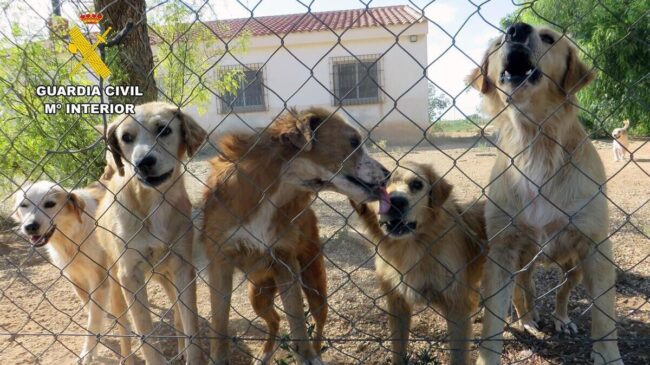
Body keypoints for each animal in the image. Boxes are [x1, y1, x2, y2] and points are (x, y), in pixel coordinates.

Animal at [12, 181, 132, 362]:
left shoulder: (100, 280)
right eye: (23, 205)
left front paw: (88, 353)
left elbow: (93, 319)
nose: (30, 227)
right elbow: (92, 312)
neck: (71, 237)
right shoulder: (75, 279)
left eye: (50, 204)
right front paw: (98, 340)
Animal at [95, 101, 205, 362]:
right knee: (124, 329)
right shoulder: (130, 275)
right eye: (126, 137)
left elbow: (190, 322)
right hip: (116, 287)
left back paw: (180, 349)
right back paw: (126, 358)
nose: (143, 162)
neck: (154, 203)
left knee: (176, 312)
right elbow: (145, 332)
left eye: (163, 130)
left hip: (168, 276)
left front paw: (191, 354)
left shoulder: (183, 267)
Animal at [200, 107, 388, 364]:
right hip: (257, 295)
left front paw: (306, 356)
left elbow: (298, 322)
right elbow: (219, 325)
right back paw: (265, 354)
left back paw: (315, 355)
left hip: (315, 286)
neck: (273, 192)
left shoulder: (285, 262)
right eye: (353, 142)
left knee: (317, 325)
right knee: (275, 320)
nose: (389, 174)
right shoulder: (220, 263)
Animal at [346, 162, 484, 364]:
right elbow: (398, 349)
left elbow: (458, 355)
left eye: (417, 184)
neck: (411, 249)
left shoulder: (456, 306)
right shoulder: (397, 303)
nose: (396, 202)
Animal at [466, 23, 624, 364]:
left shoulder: (596, 248)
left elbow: (605, 318)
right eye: (497, 43)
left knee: (563, 291)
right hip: (523, 259)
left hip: (573, 265)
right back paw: (527, 318)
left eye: (549, 38)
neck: (534, 142)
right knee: (523, 289)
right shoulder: (502, 250)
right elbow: (493, 320)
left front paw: (608, 355)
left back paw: (561, 319)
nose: (515, 29)